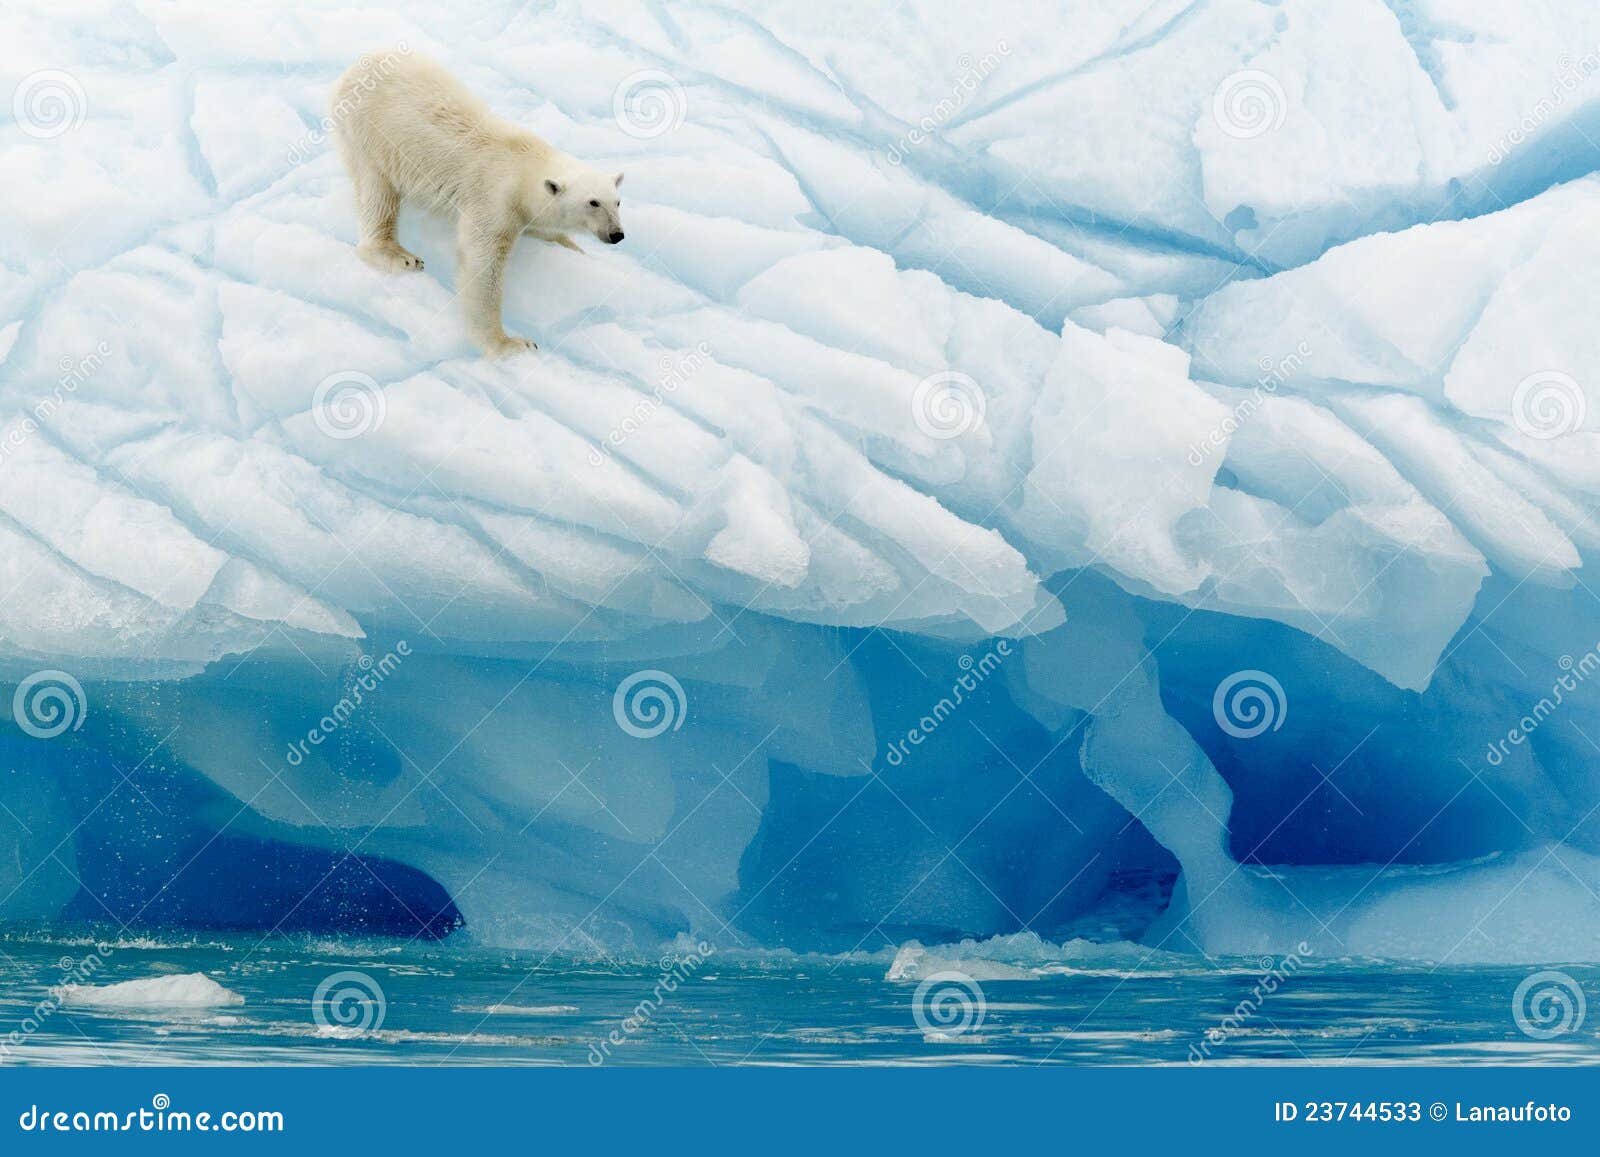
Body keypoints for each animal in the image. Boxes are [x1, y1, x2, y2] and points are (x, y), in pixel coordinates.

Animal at [328, 51, 620, 356]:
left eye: (617, 202)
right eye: (593, 202)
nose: (617, 235)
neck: (526, 165)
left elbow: (542, 229)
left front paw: (575, 248)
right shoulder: (494, 199)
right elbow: (482, 266)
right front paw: (511, 344)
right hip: (370, 135)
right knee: (377, 191)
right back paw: (399, 255)